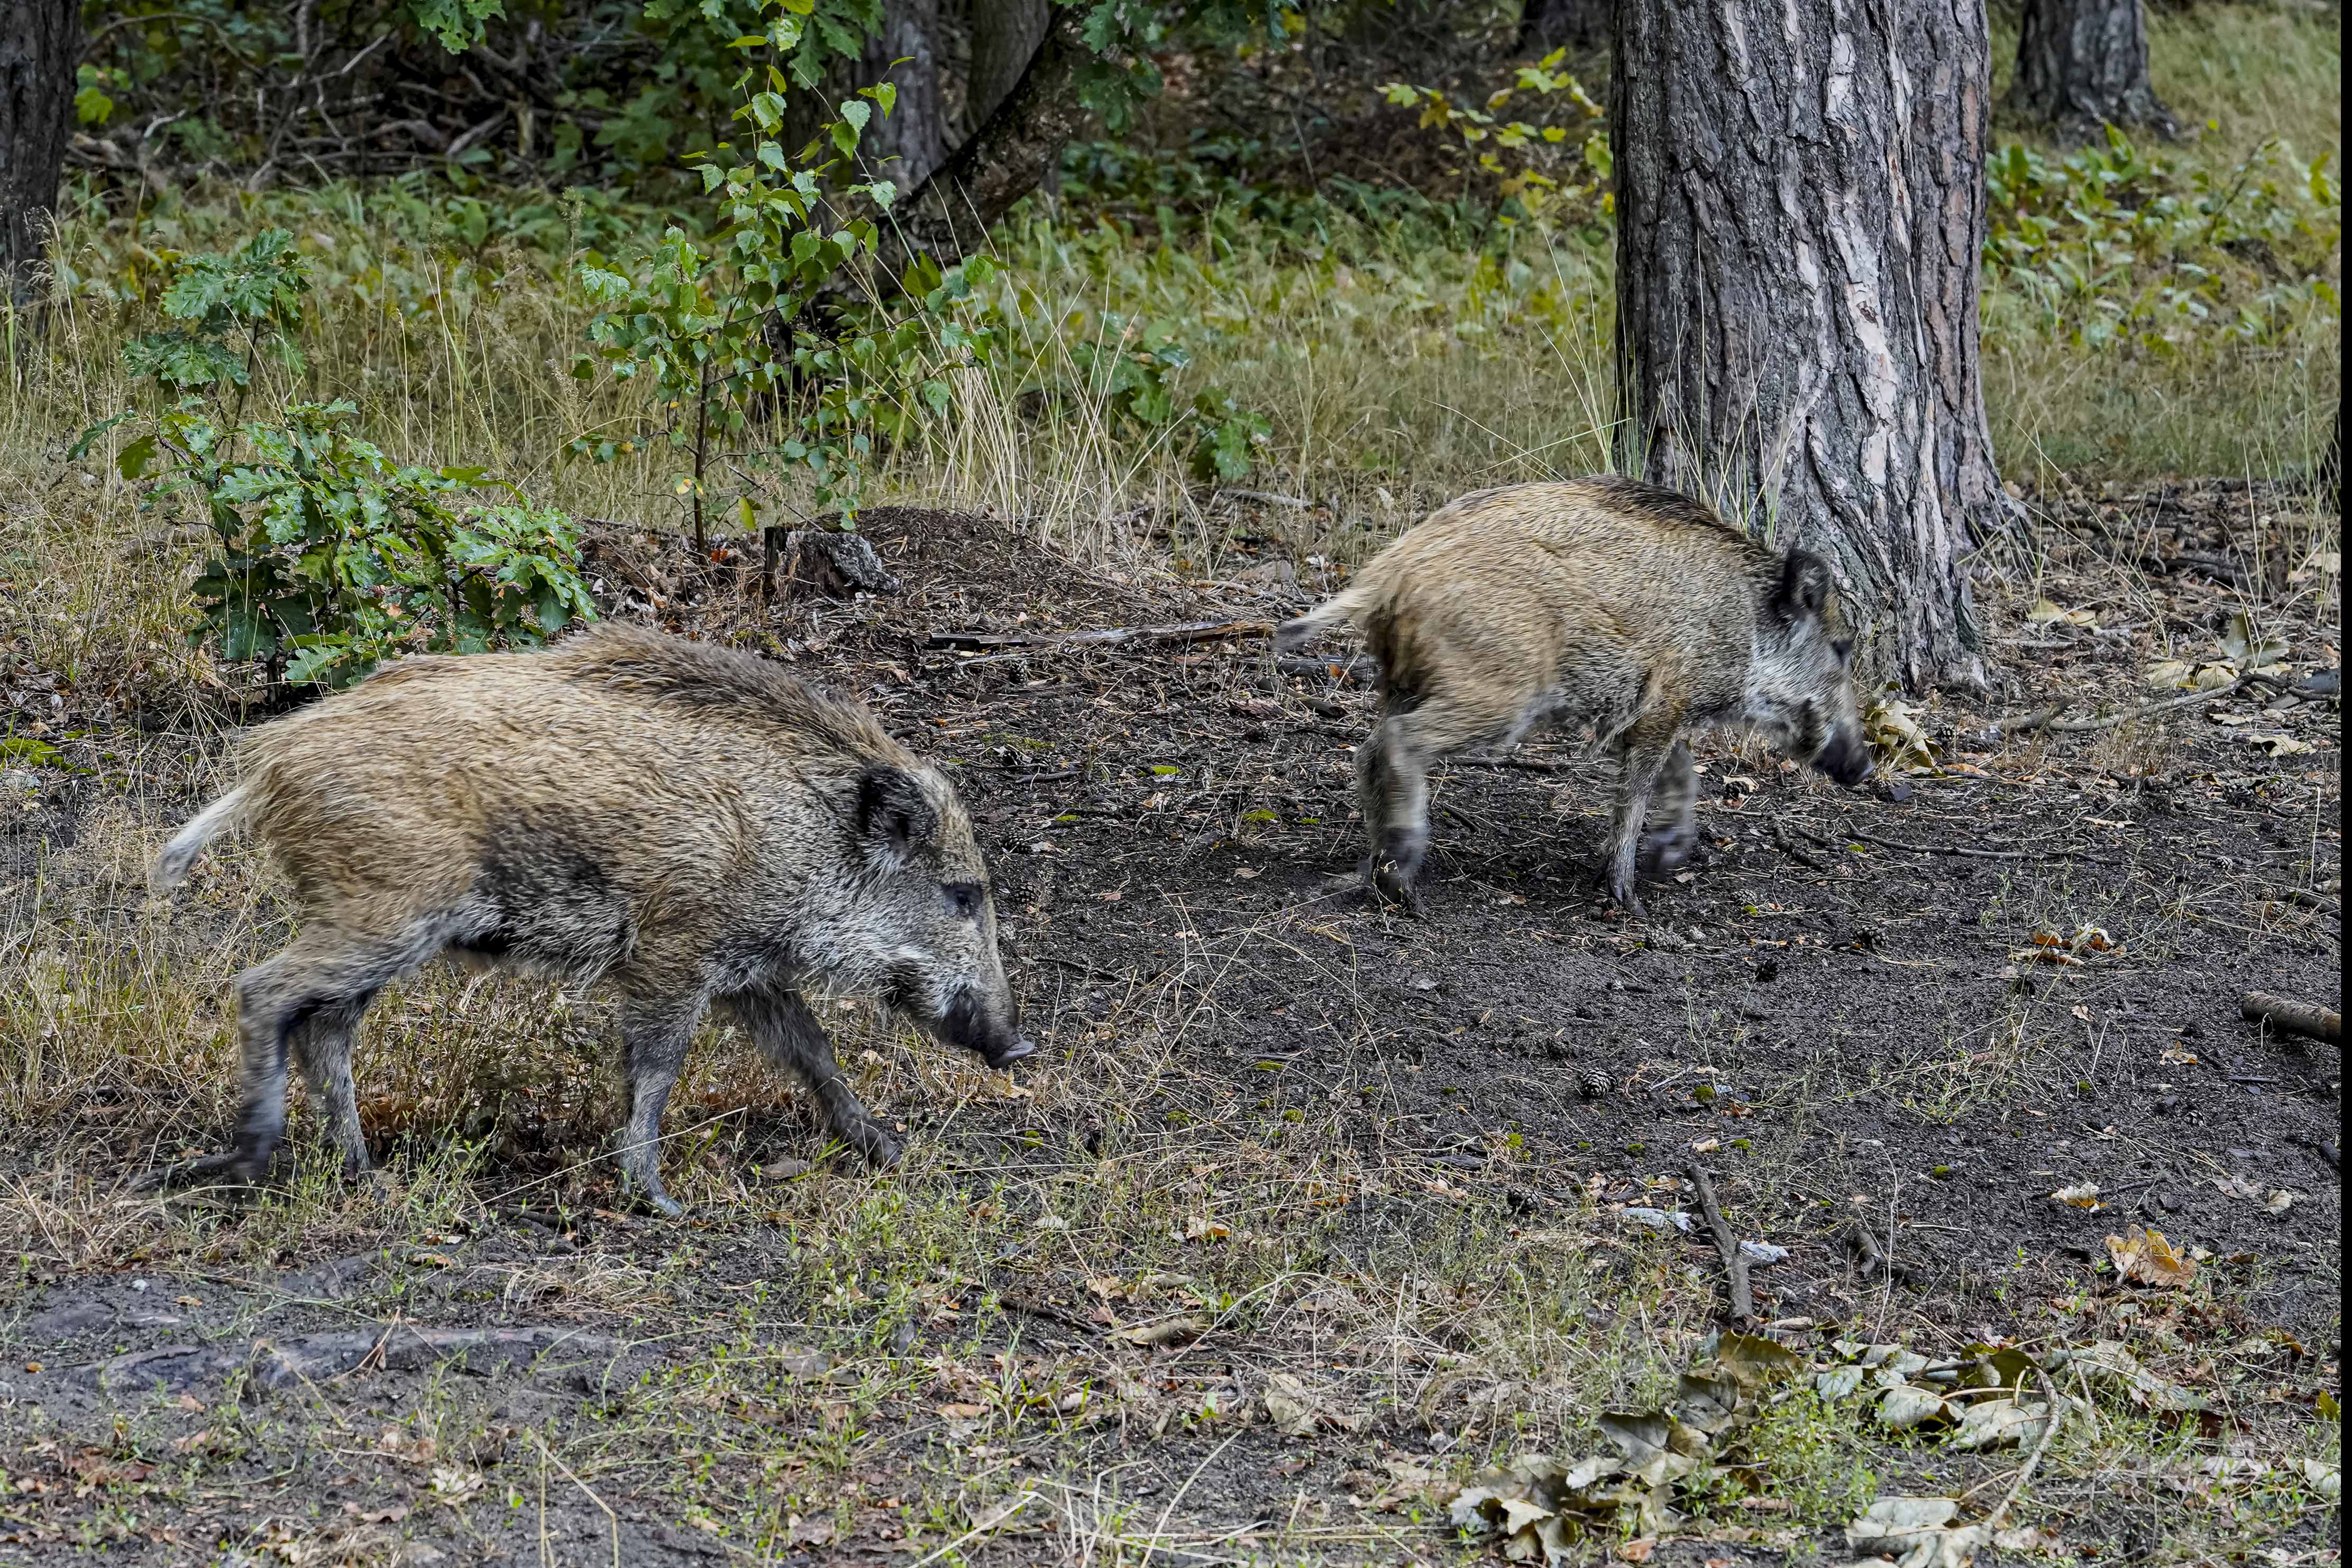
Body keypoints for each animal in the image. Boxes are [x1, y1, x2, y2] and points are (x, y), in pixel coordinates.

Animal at [149, 624, 1032, 1216]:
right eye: (962, 894)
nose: (1018, 1045)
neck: (792, 834)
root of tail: (269, 766)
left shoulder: (746, 969)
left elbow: (813, 1053)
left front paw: (887, 1149)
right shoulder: (672, 951)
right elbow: (657, 1068)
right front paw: (660, 1201)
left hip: (377, 924)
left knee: (325, 1031)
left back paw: (368, 1176)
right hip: (384, 912)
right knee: (264, 989)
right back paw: (252, 1159)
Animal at [1276, 476, 1873, 916]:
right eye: (1841, 648)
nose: (1866, 768)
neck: (1745, 627)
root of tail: (1388, 573)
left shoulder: (1643, 709)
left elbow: (1680, 770)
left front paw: (1666, 860)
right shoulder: (1664, 703)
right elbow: (1638, 791)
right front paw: (1628, 899)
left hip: (1403, 681)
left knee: (1368, 750)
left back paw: (1379, 873)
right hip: (1496, 691)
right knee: (1398, 744)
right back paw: (1405, 885)